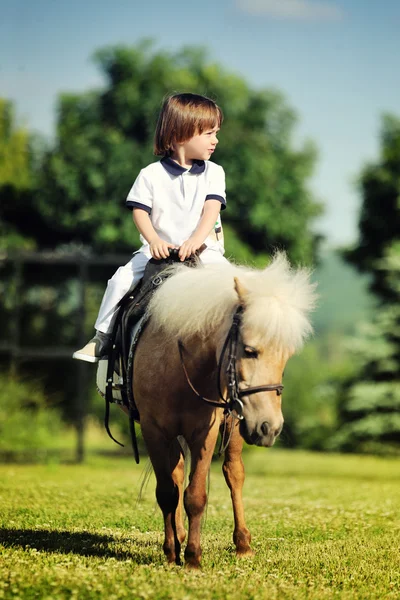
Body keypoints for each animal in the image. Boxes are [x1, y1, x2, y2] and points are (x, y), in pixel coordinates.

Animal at [133, 252, 318, 568]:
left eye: (286, 358)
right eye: (249, 351)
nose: (270, 428)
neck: (177, 365)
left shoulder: (204, 432)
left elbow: (195, 496)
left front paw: (193, 558)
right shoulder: (153, 431)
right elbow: (167, 492)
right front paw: (172, 554)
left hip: (233, 425)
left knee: (234, 474)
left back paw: (242, 543)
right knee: (177, 475)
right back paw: (179, 536)